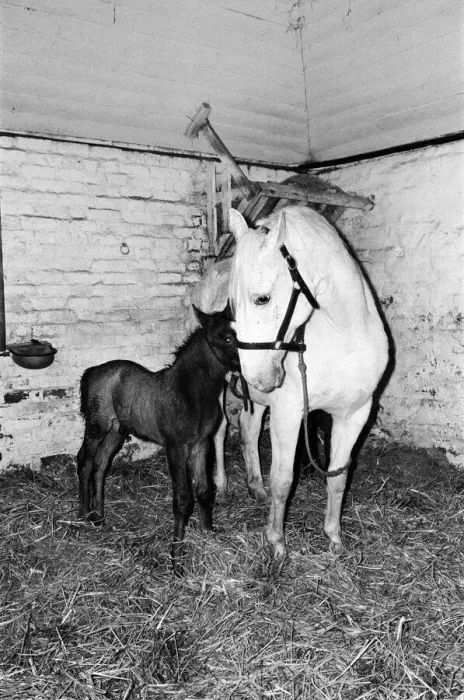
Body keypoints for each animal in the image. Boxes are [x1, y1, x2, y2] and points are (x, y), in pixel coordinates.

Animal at [77, 304, 239, 576]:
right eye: (226, 338)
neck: (190, 392)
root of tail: (93, 371)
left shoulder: (201, 445)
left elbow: (205, 491)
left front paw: (209, 537)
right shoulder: (176, 448)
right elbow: (183, 500)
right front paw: (176, 560)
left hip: (116, 432)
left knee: (101, 465)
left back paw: (99, 515)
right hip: (96, 427)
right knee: (85, 462)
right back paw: (82, 514)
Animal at [229, 205, 389, 562]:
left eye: (262, 298)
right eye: (231, 303)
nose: (256, 376)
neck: (342, 333)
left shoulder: (354, 415)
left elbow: (338, 477)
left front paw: (334, 537)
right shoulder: (287, 415)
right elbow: (283, 480)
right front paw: (276, 542)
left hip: (257, 401)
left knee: (248, 428)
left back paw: (255, 487)